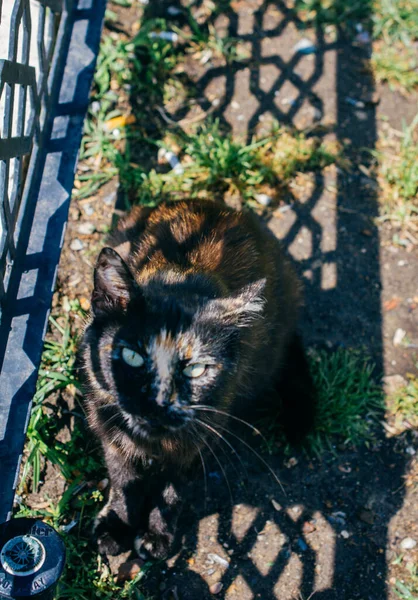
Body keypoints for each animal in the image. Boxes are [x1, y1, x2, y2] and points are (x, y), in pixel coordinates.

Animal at [78, 200, 316, 556]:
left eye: (195, 369)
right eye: (133, 356)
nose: (158, 402)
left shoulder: (201, 436)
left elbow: (172, 490)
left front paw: (157, 535)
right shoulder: (110, 429)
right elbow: (123, 481)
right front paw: (116, 525)